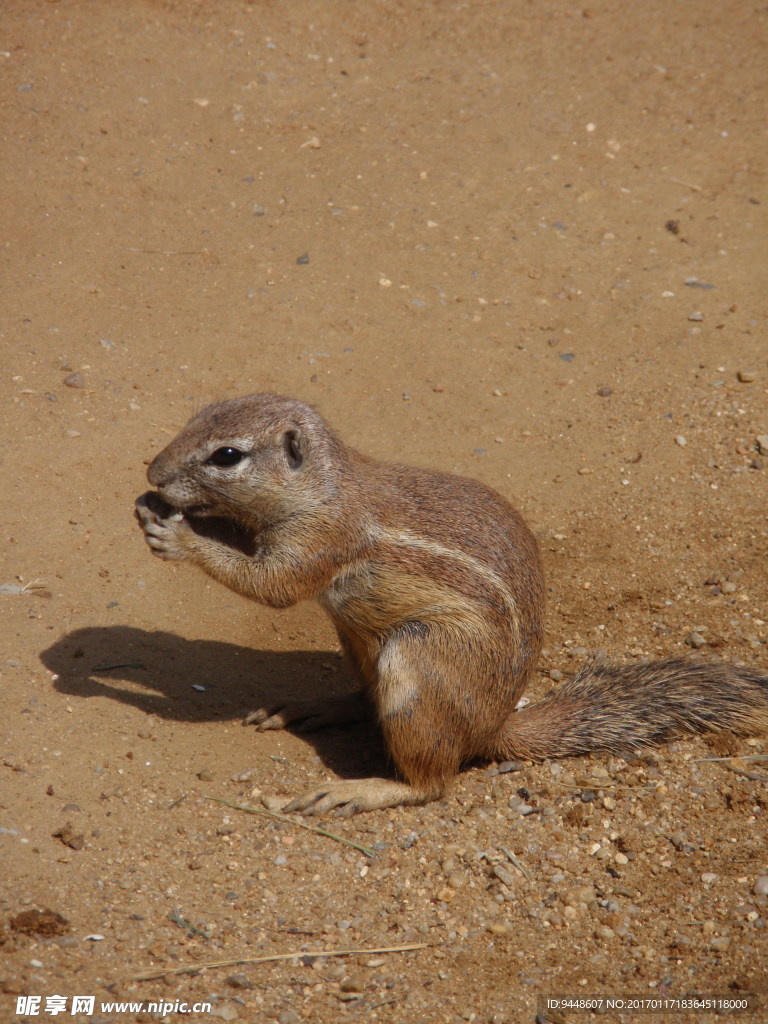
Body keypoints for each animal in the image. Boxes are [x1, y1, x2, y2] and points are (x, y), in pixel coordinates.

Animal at [135, 391, 768, 815]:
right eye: (195, 416)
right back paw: (311, 708)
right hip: (358, 642)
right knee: (365, 702)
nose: (153, 471)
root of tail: (492, 728)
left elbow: (274, 585)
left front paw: (179, 537)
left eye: (227, 455)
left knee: (432, 783)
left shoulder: (323, 539)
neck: (323, 485)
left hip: (416, 663)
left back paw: (359, 790)